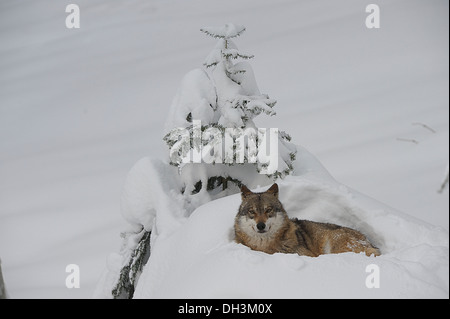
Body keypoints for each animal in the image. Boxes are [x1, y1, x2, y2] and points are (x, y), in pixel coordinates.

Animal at [234, 185, 382, 258]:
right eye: (252, 212)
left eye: (268, 210)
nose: (261, 225)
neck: (266, 247)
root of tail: (369, 242)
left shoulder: (308, 255)